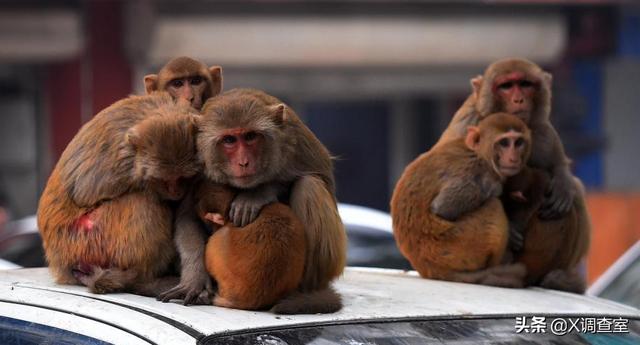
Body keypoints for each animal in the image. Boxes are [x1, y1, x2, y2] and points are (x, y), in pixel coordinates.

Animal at [38, 93, 199, 292]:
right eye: (163, 180)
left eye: (182, 178)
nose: (175, 191)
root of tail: (57, 260)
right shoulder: (120, 161)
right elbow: (83, 191)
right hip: (85, 240)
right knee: (143, 203)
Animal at [162, 88, 348, 310]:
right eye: (229, 140)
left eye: (250, 136)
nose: (244, 162)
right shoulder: (193, 160)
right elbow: (187, 217)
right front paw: (195, 280)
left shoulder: (294, 138)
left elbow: (321, 177)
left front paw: (256, 195)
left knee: (309, 186)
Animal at [392, 113, 532, 288]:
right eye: (504, 143)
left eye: (518, 142)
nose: (513, 157)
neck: (479, 154)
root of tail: (427, 267)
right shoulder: (475, 174)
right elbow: (442, 208)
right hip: (455, 248)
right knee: (493, 205)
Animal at [438, 56, 576, 218]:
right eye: (506, 86)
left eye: (525, 84)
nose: (518, 99)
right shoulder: (467, 124)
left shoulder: (541, 131)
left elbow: (557, 163)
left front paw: (563, 182)